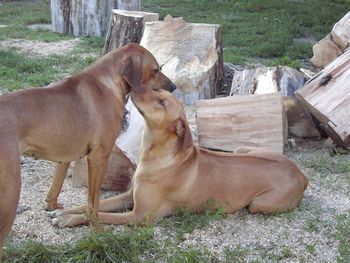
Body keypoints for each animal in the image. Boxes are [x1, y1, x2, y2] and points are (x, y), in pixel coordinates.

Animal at [0, 42, 175, 260]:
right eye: (156, 69)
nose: (174, 87)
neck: (107, 82)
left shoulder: (65, 155)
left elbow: (56, 186)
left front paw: (53, 207)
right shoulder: (99, 158)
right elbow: (94, 201)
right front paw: (97, 229)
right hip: (10, 193)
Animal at [50, 86, 308, 229]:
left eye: (162, 102)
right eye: (159, 92)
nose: (134, 86)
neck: (157, 157)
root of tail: (300, 174)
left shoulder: (139, 216)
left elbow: (99, 215)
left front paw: (68, 220)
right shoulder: (128, 197)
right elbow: (93, 205)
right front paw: (64, 211)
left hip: (258, 204)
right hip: (242, 150)